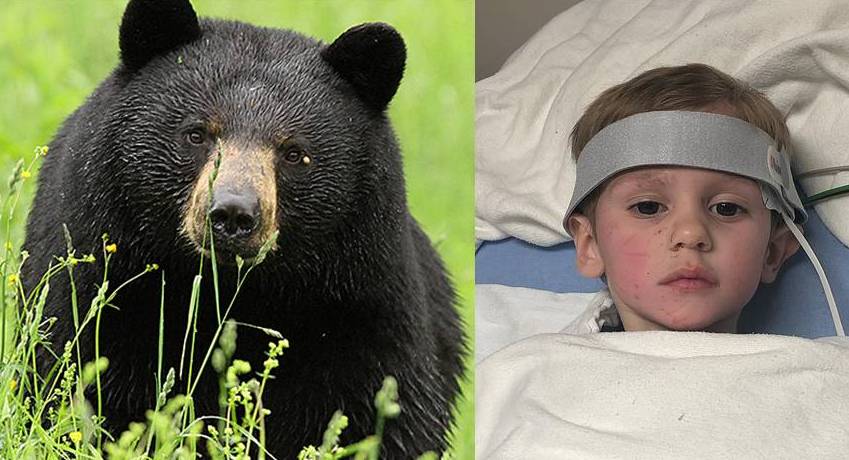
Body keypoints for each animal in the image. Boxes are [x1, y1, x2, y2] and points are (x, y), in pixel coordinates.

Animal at [22, 0, 465, 457]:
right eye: (196, 133)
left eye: (295, 152)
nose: (233, 213)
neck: (239, 293)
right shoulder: (101, 279)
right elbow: (78, 374)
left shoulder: (361, 308)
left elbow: (384, 414)